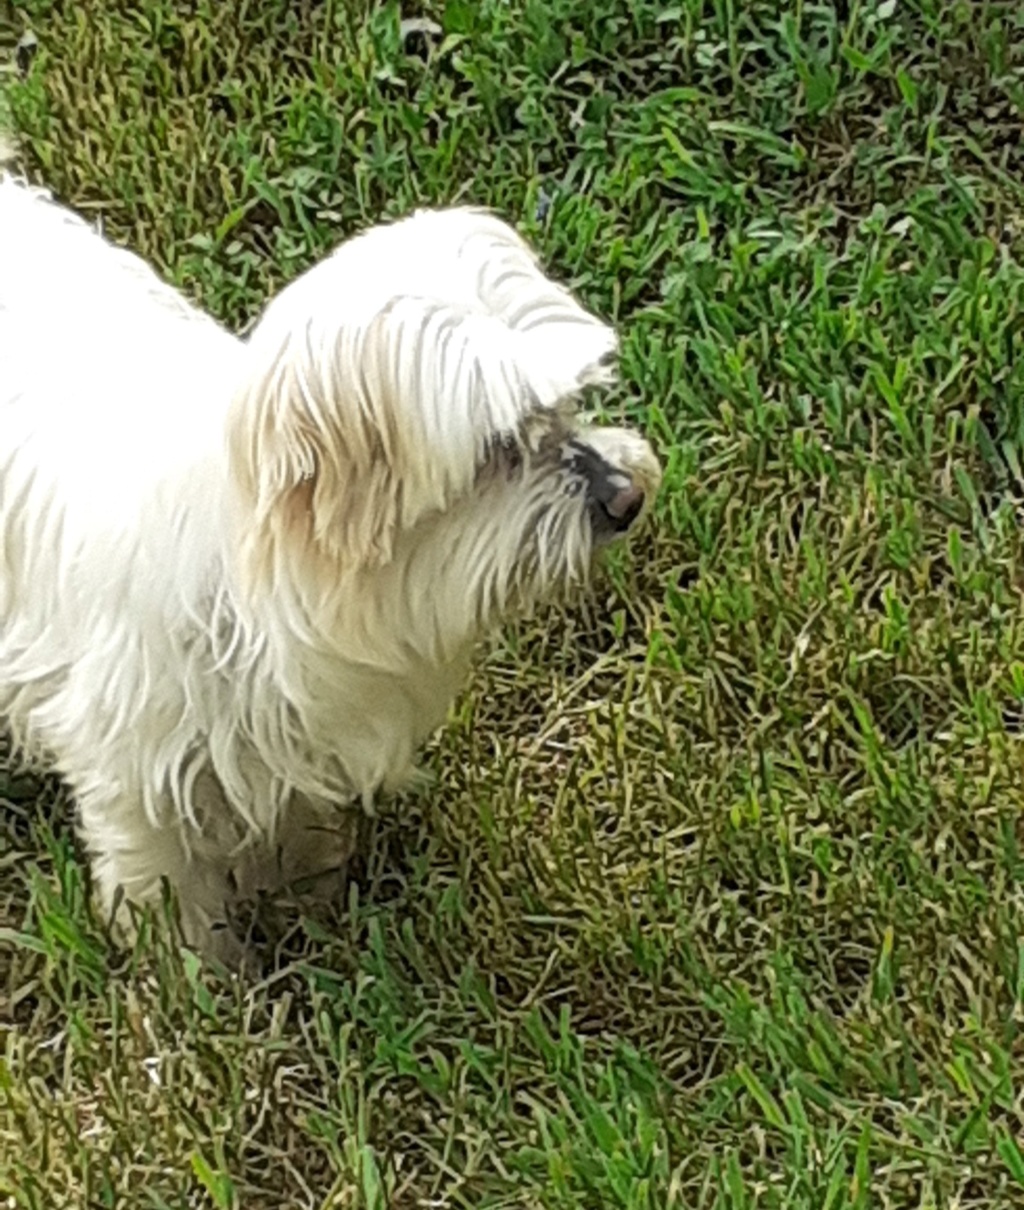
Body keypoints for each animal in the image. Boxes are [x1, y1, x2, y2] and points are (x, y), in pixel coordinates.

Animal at [0, 175, 663, 958]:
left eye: (566, 406)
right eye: (500, 446)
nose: (627, 498)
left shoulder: (309, 743)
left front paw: (313, 911)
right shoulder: (138, 770)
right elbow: (166, 889)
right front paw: (197, 974)